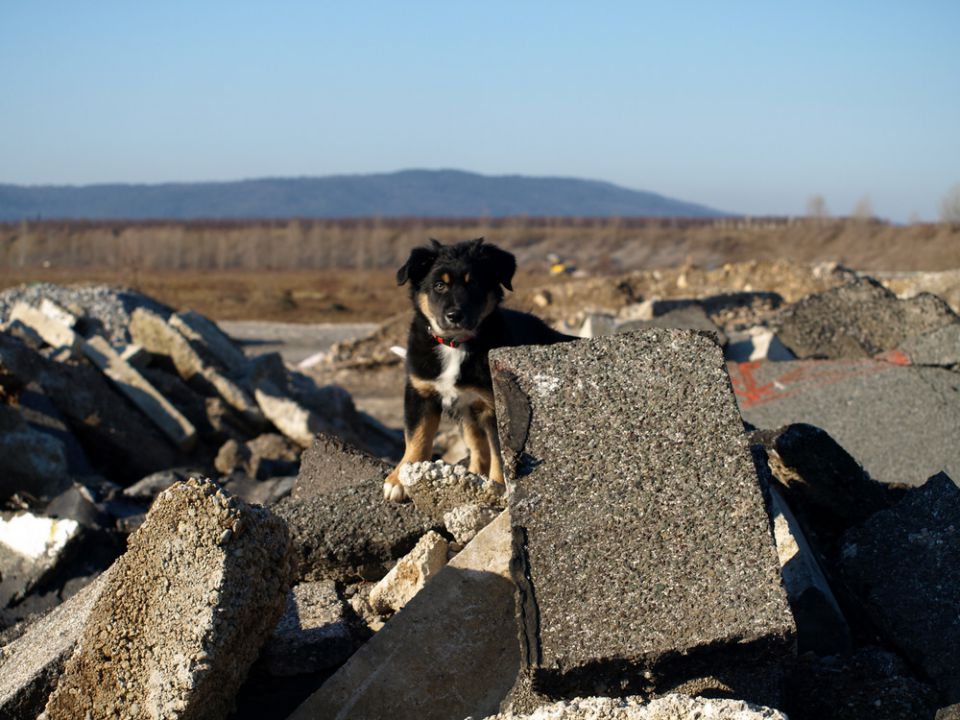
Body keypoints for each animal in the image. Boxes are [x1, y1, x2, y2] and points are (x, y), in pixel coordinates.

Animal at [386, 236, 572, 500]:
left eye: (473, 284)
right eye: (439, 286)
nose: (454, 315)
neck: (457, 345)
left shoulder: (493, 404)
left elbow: (498, 452)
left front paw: (497, 486)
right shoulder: (420, 392)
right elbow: (417, 436)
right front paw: (398, 479)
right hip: (465, 412)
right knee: (476, 444)